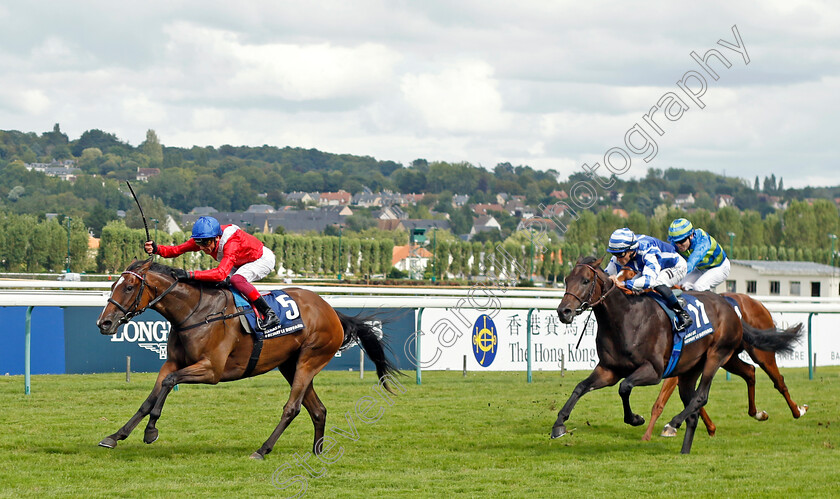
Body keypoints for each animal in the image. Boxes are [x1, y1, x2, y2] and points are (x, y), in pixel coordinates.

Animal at [97, 262, 398, 460]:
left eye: (129, 286)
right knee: (318, 409)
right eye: (112, 285)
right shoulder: (171, 362)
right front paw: (115, 436)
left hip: (310, 360)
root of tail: (332, 311)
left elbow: (169, 384)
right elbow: (151, 397)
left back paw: (262, 450)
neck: (196, 312)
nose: (104, 323)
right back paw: (317, 452)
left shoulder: (211, 370)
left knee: (292, 408)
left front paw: (151, 431)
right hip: (290, 365)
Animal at [644, 292, 808, 442]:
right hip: (728, 358)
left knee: (778, 381)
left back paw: (798, 411)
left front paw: (653, 432)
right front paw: (710, 428)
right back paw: (757, 413)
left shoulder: (677, 367)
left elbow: (664, 401)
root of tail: (756, 302)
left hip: (761, 354)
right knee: (750, 371)